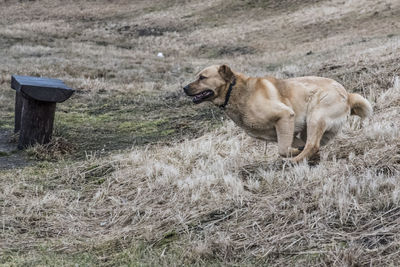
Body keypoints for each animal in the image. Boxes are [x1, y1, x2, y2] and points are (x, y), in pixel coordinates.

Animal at [183, 65, 374, 163]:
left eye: (202, 77)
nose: (184, 88)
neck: (235, 90)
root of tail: (347, 95)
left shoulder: (285, 116)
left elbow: (283, 150)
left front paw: (292, 155)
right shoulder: (282, 132)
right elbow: (292, 145)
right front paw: (297, 151)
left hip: (315, 116)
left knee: (312, 145)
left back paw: (294, 161)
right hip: (309, 127)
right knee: (312, 144)